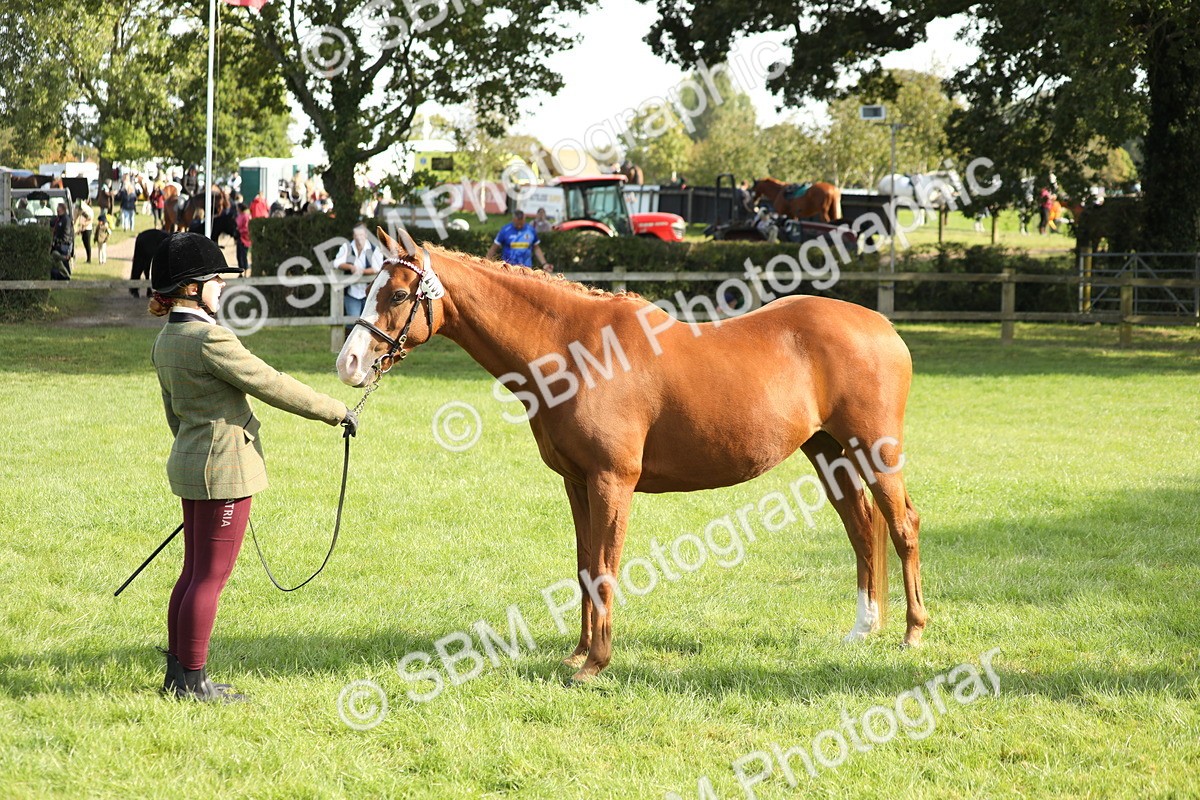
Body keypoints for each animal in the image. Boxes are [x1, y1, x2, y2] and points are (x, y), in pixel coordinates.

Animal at [335, 228, 927, 682]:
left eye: (396, 296)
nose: (349, 364)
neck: (575, 350)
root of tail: (882, 326)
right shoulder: (577, 483)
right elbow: (582, 566)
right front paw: (576, 653)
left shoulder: (612, 481)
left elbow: (605, 567)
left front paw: (595, 664)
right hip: (827, 451)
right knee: (861, 527)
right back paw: (863, 629)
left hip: (875, 450)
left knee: (901, 524)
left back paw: (912, 634)